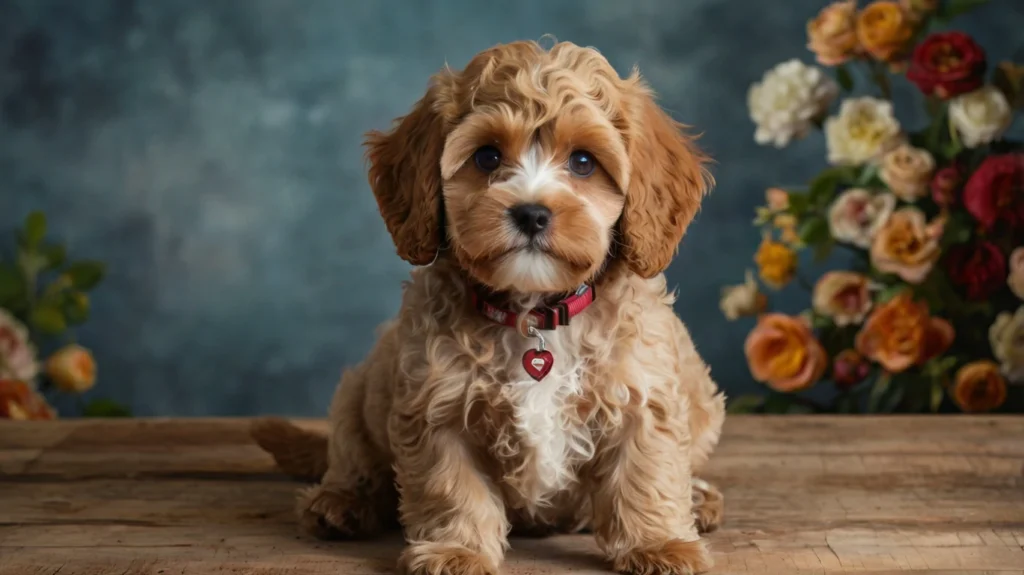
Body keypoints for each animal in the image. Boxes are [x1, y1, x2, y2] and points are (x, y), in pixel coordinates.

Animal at [251, 40, 724, 572]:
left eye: (583, 162)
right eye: (487, 156)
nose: (532, 213)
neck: (535, 315)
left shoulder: (643, 394)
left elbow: (645, 472)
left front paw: (659, 544)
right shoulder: (437, 406)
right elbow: (454, 486)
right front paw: (456, 549)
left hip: (702, 394)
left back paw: (698, 497)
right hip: (360, 390)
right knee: (353, 456)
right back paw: (341, 503)